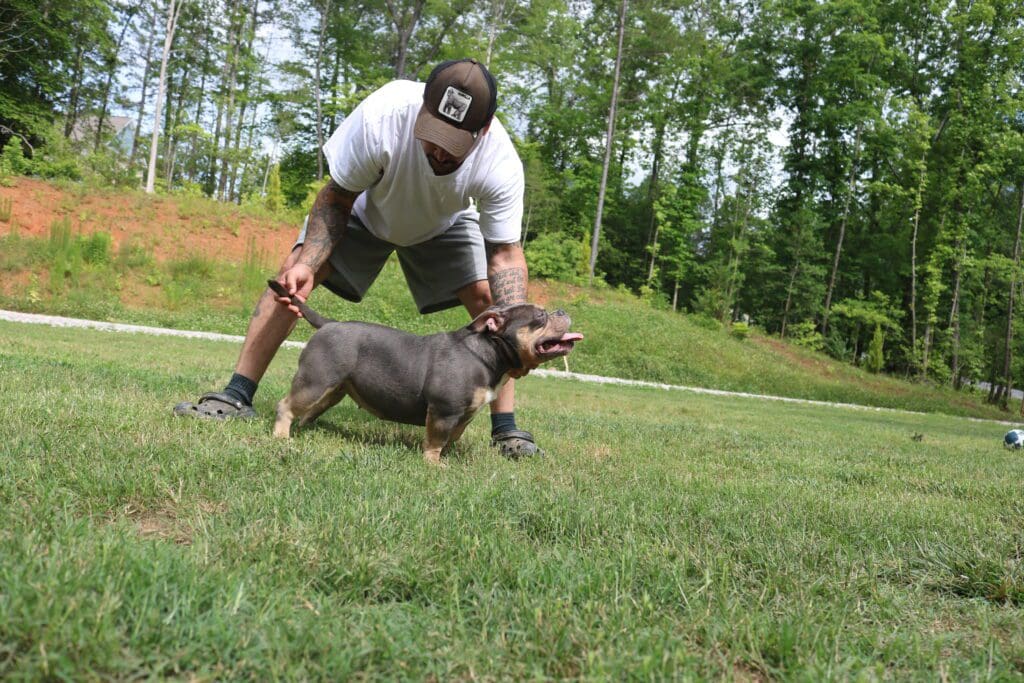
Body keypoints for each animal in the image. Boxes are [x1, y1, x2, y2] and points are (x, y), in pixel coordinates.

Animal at [268, 278, 581, 464]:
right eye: (540, 316)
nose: (563, 311)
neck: (489, 352)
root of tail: (329, 323)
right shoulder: (444, 411)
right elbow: (436, 439)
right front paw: (433, 463)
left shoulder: (463, 415)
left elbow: (452, 437)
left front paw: (447, 457)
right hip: (315, 381)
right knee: (286, 405)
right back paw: (282, 437)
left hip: (333, 390)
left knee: (309, 411)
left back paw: (304, 429)